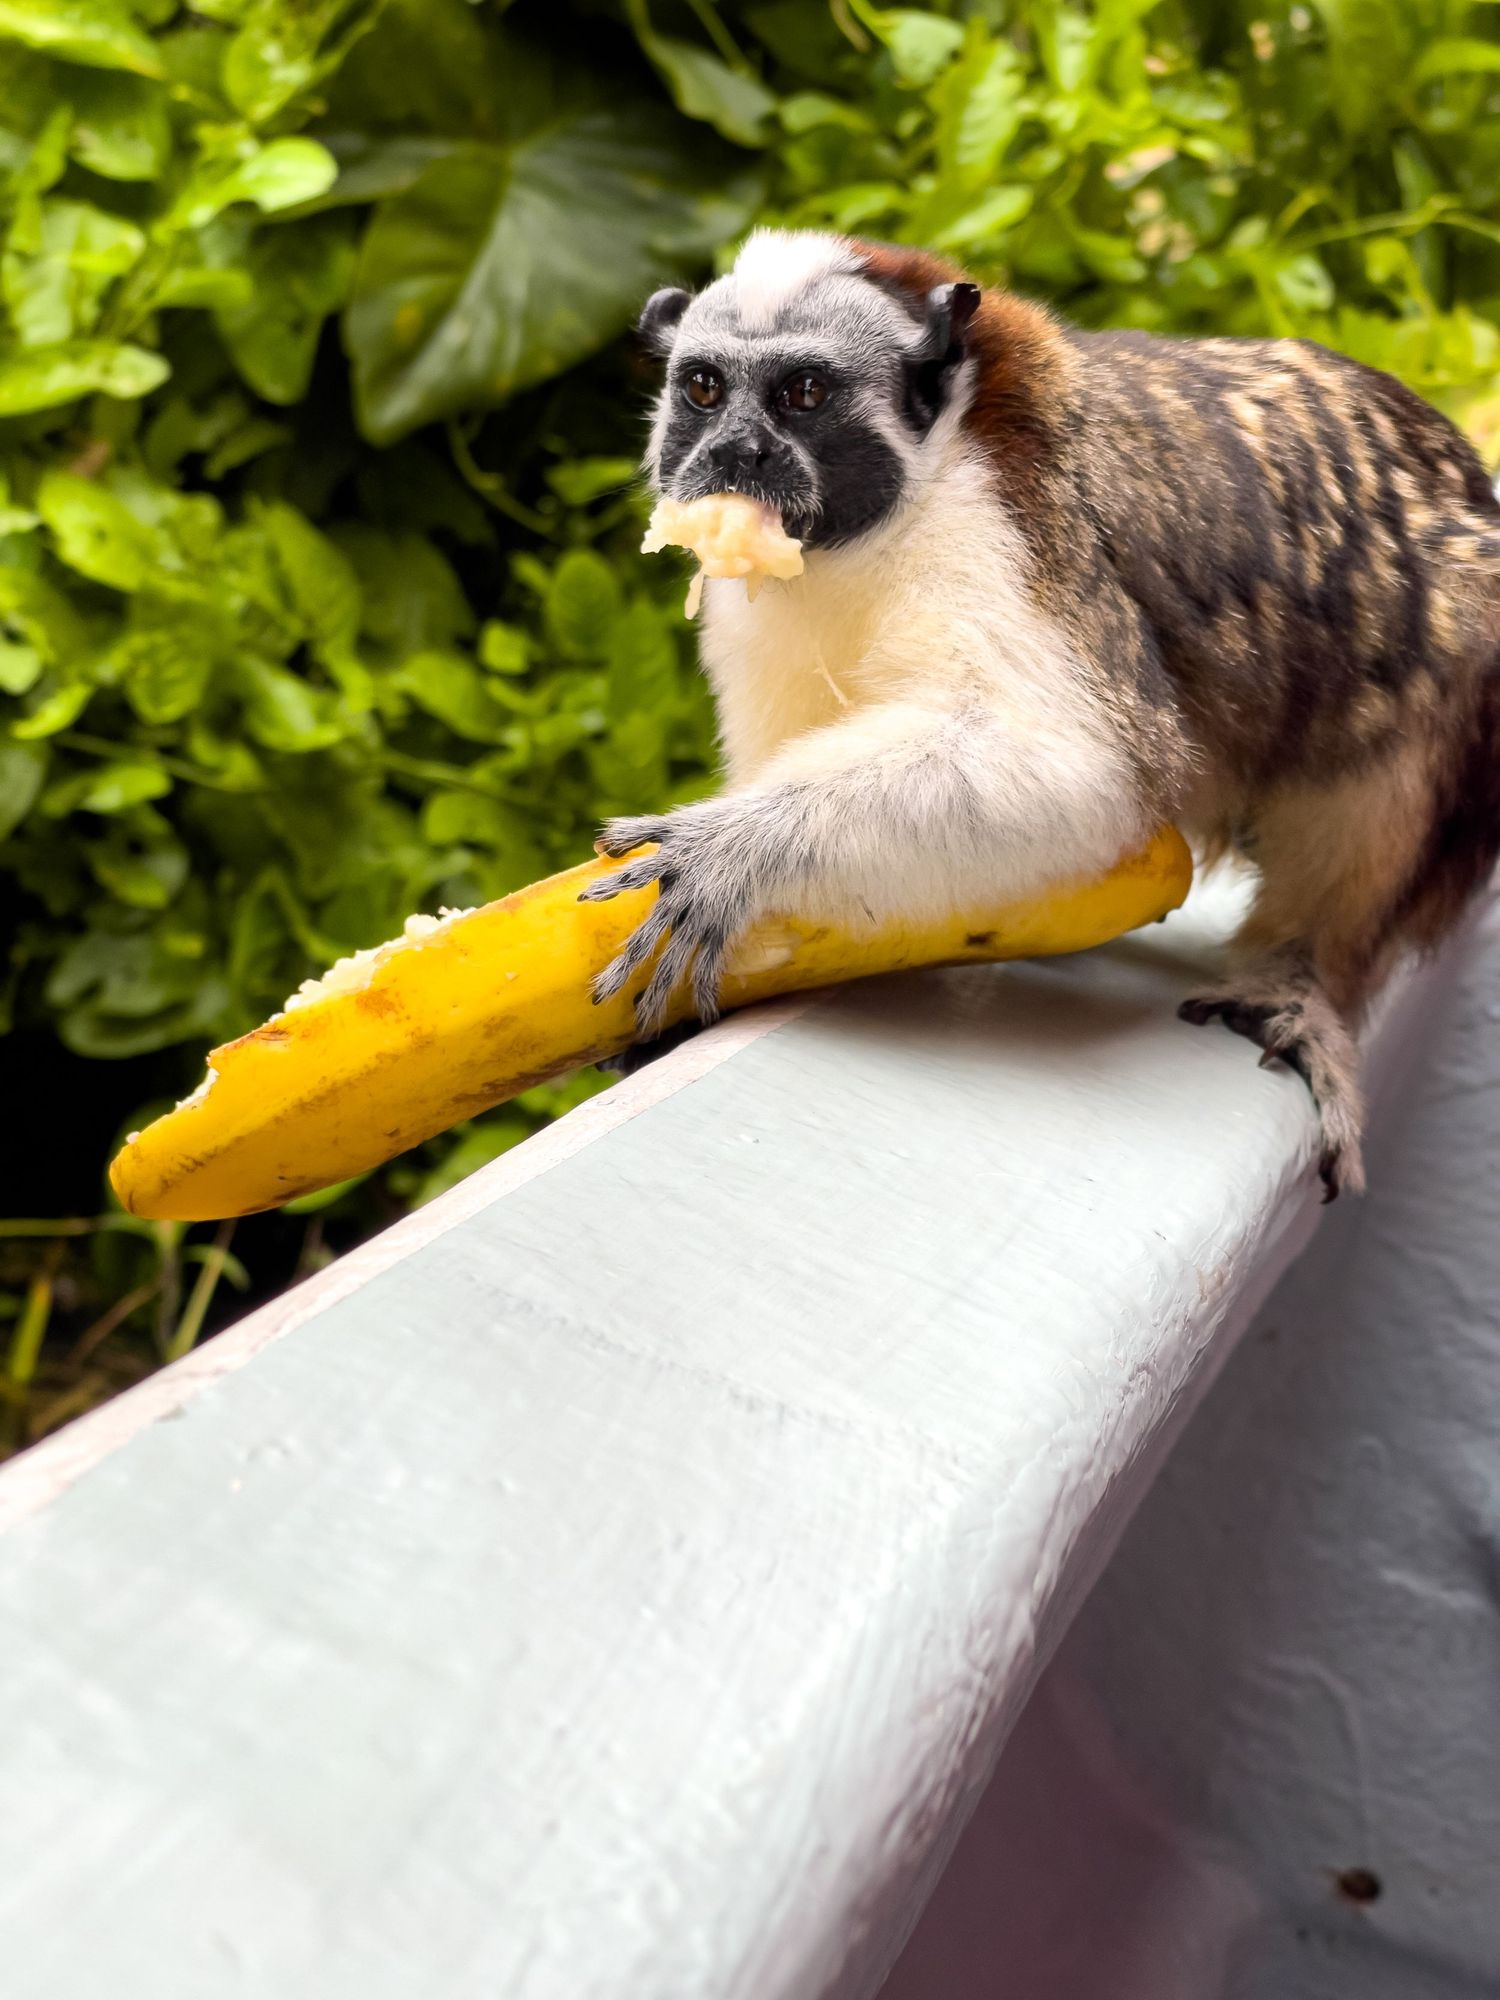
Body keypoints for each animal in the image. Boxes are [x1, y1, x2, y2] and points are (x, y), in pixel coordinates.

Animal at [580, 229, 1500, 1198]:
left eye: (803, 394)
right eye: (705, 389)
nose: (737, 451)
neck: (884, 526)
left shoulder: (1011, 526)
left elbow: (1077, 766)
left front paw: (733, 853)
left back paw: (1295, 982)